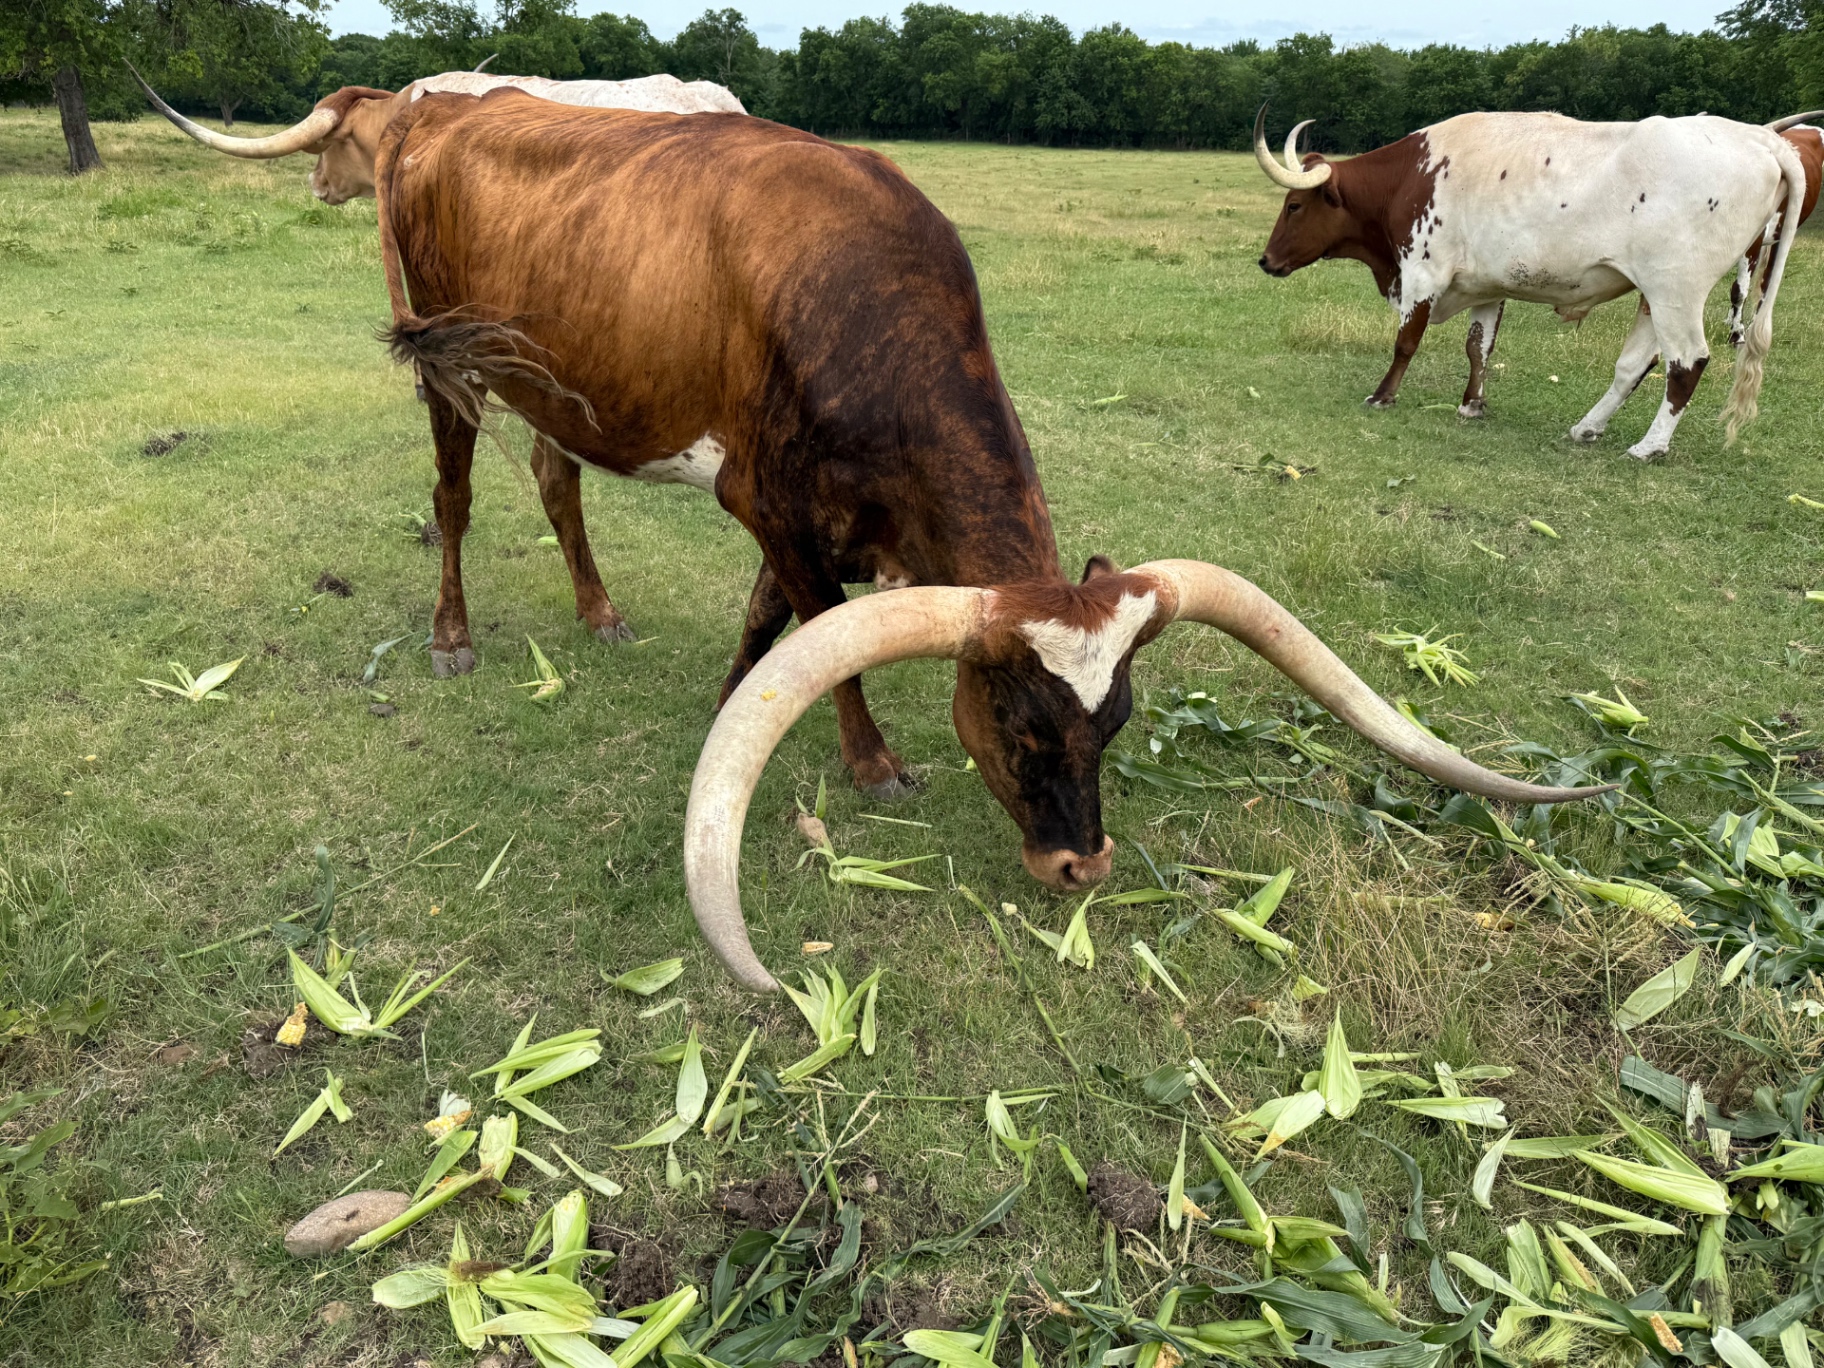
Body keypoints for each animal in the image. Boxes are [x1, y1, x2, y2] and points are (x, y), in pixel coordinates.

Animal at [369, 88, 1605, 987]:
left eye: (1117, 722)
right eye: (1017, 723)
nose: (1081, 863)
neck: (854, 303)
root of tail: (445, 105)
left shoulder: (822, 522)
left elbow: (768, 621)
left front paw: (727, 695)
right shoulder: (771, 506)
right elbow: (818, 628)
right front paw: (871, 763)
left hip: (550, 389)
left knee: (555, 481)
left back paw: (598, 611)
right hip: (446, 366)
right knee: (455, 496)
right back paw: (450, 636)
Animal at [1253, 107, 1808, 458]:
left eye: (1294, 205)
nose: (1265, 260)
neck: (1411, 175)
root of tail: (1763, 139)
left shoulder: (1423, 272)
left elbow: (1406, 341)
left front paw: (1383, 396)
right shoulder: (1487, 284)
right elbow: (1479, 347)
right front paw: (1471, 404)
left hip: (1677, 290)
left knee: (1687, 363)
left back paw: (1650, 446)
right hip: (1655, 296)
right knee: (1635, 366)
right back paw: (1588, 427)